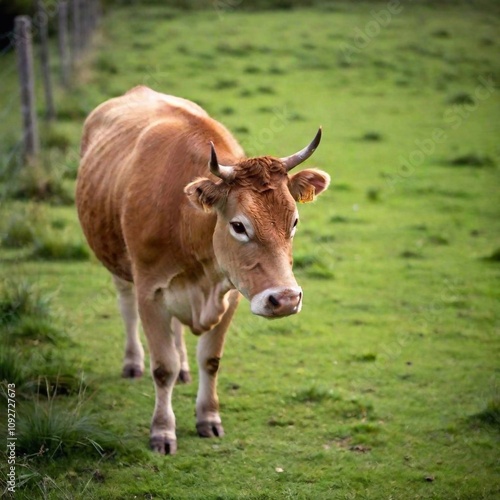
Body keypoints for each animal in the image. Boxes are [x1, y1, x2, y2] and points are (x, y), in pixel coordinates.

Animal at [76, 87, 330, 458]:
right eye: (238, 225)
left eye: (294, 221)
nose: (284, 299)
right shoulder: (150, 291)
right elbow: (161, 367)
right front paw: (162, 431)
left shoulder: (233, 292)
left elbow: (210, 359)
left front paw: (208, 417)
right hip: (118, 265)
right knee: (126, 308)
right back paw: (132, 362)